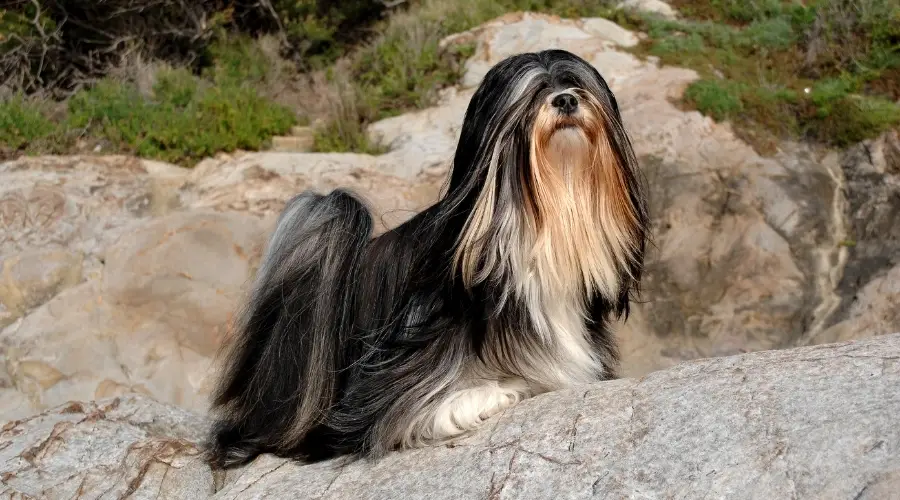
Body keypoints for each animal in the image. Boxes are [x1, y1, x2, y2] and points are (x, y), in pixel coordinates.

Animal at [207, 48, 652, 466]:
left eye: (576, 85)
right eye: (533, 95)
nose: (566, 100)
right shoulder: (397, 385)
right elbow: (432, 407)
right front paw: (500, 390)